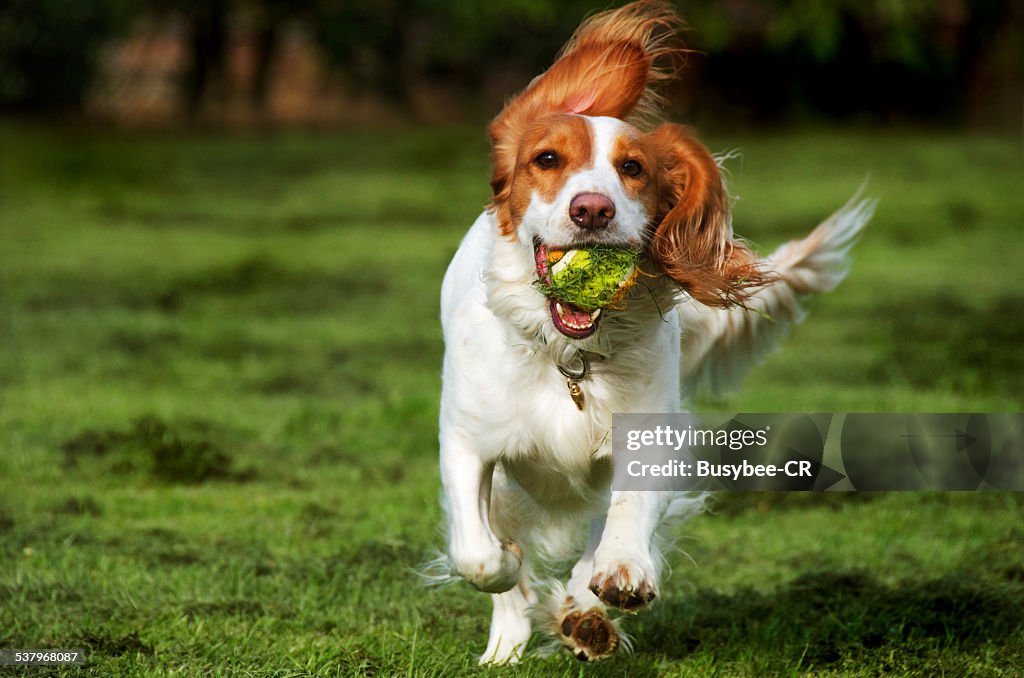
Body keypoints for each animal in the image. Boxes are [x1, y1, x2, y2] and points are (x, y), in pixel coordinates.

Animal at [436, 0, 876, 667]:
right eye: (547, 160)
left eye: (633, 168)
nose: (593, 209)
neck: (571, 357)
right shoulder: (467, 438)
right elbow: (480, 555)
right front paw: (512, 576)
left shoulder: (649, 438)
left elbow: (623, 520)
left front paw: (617, 577)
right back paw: (507, 647)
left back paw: (584, 617)